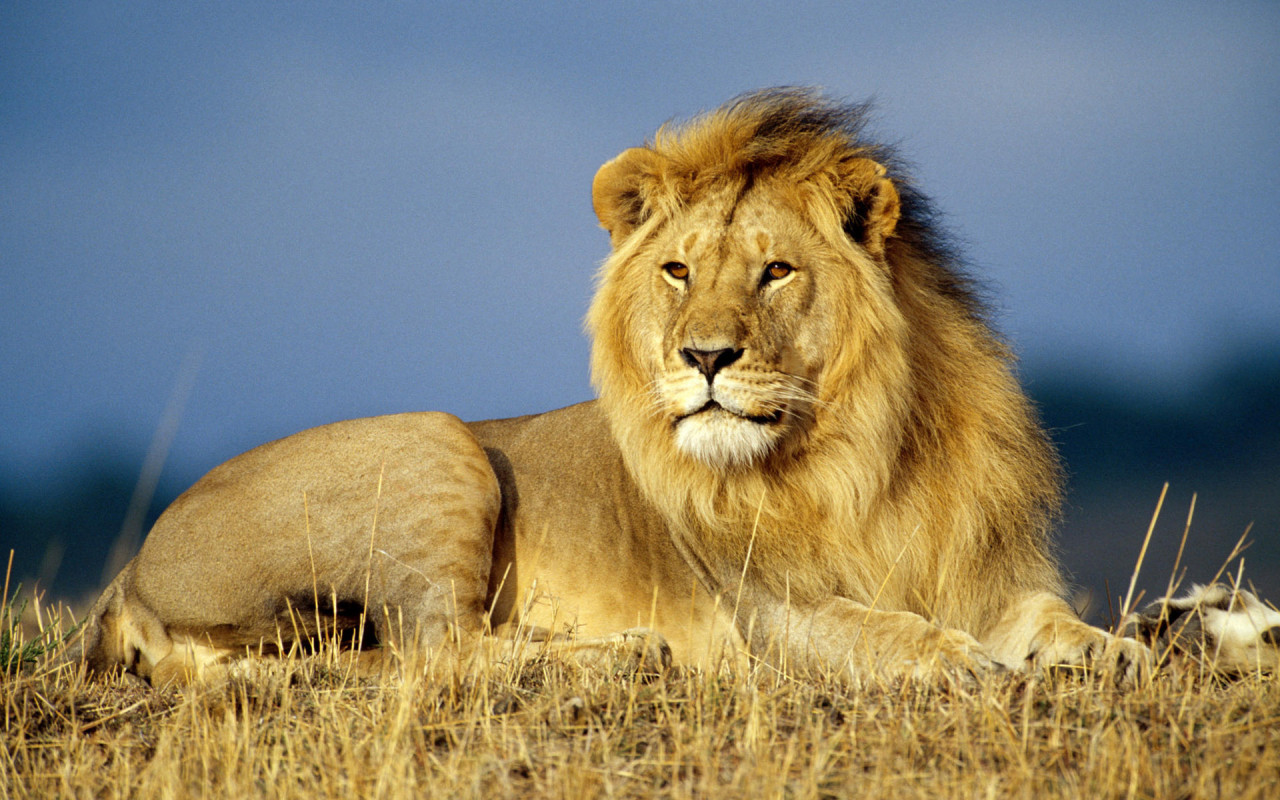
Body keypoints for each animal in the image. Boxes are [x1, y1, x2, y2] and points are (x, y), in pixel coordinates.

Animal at [71, 88, 1148, 687]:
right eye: (677, 271)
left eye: (775, 271)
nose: (704, 357)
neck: (863, 452)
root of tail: (128, 571)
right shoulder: (768, 613)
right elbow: (875, 626)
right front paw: (952, 658)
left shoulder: (985, 571)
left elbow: (1047, 618)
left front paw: (1118, 649)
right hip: (436, 441)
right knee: (436, 651)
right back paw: (624, 653)